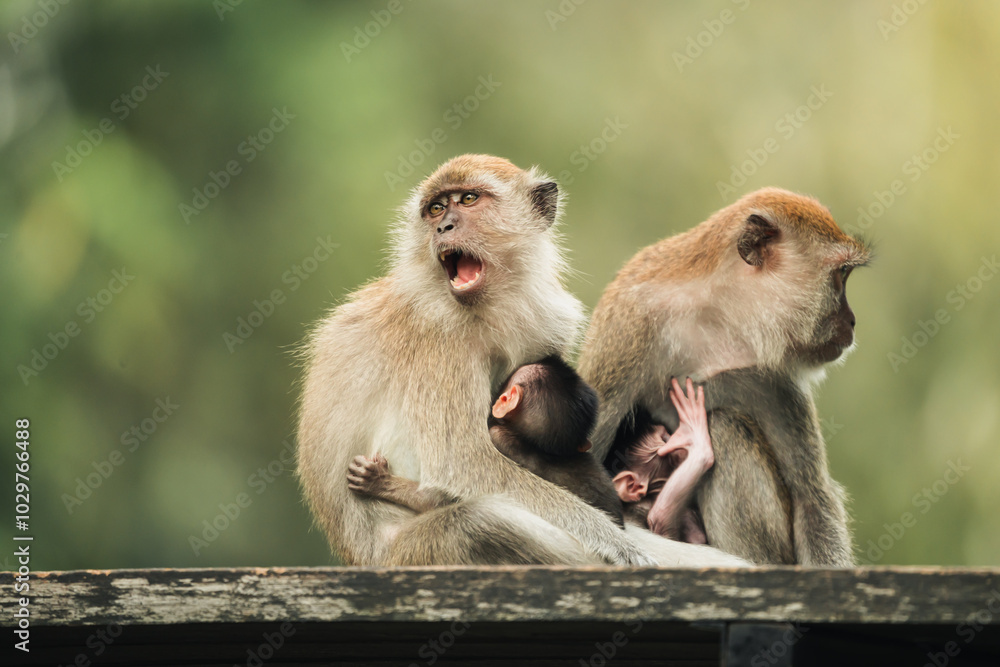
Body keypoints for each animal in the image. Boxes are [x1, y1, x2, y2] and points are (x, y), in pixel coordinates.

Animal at [578, 187, 870, 566]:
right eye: (841, 275)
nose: (851, 320)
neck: (718, 316)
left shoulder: (774, 376)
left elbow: (812, 499)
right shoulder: (628, 327)